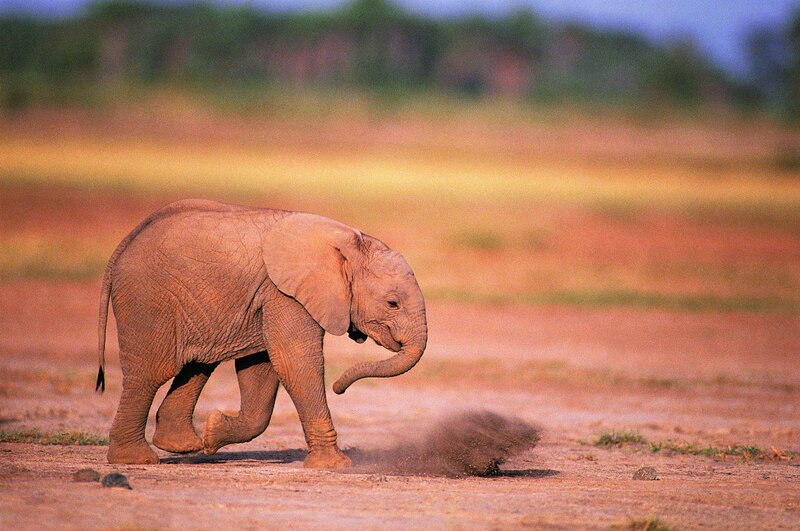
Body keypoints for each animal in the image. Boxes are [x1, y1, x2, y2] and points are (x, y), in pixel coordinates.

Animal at [96, 199, 428, 468]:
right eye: (393, 303)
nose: (338, 388)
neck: (348, 242)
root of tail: (122, 247)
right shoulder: (285, 293)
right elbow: (294, 361)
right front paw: (336, 465)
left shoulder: (269, 296)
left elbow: (261, 367)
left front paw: (213, 432)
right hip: (148, 299)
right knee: (150, 373)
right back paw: (136, 459)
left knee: (197, 365)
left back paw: (185, 445)